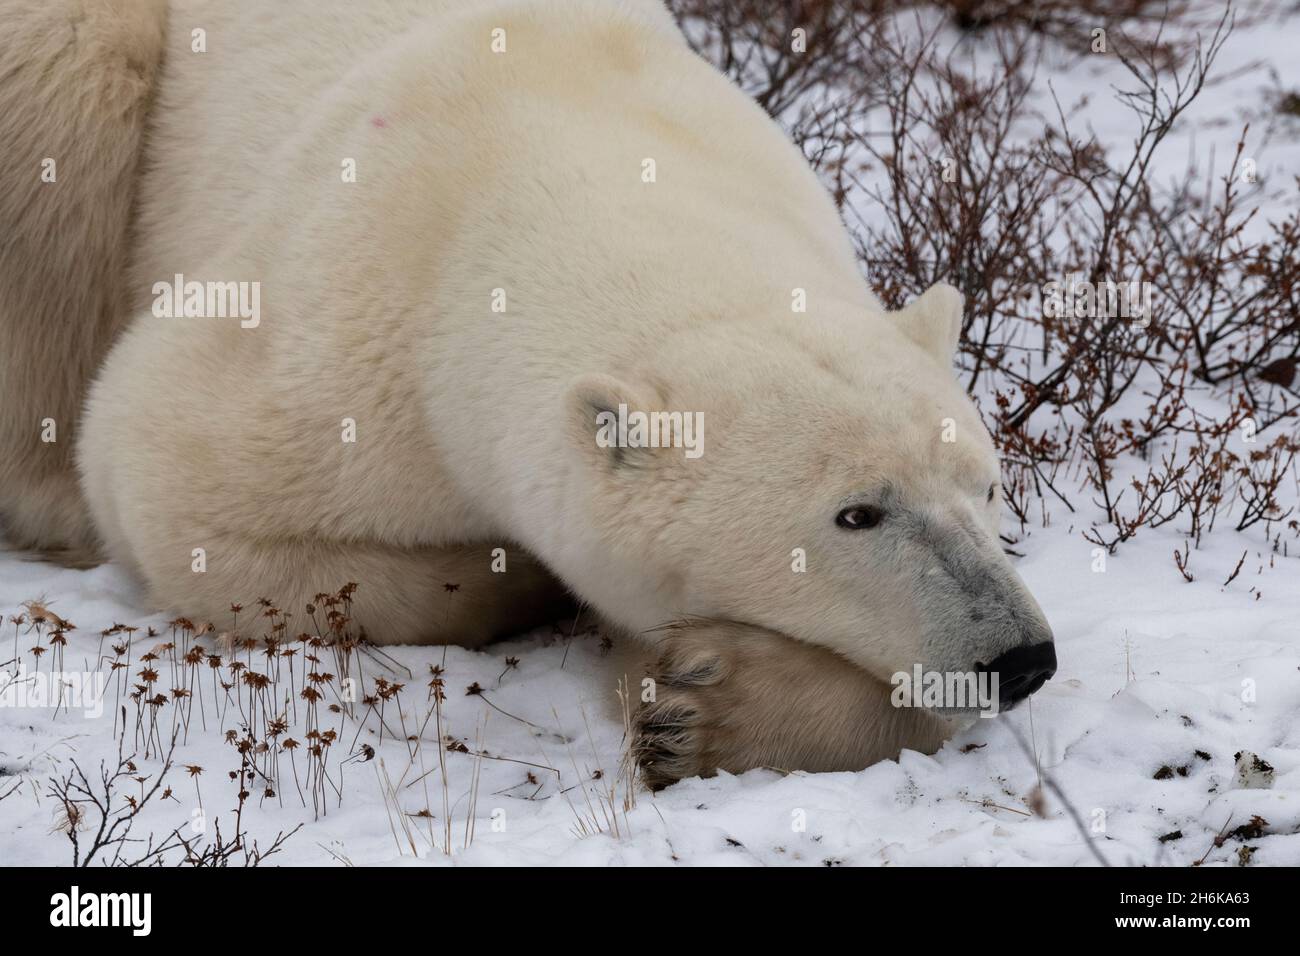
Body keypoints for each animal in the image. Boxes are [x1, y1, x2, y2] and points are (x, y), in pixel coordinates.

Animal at [2, 0, 1055, 785]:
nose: (1022, 657)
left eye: (988, 485)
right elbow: (161, 467)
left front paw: (702, 705)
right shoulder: (344, 336)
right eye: (856, 514)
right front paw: (522, 580)